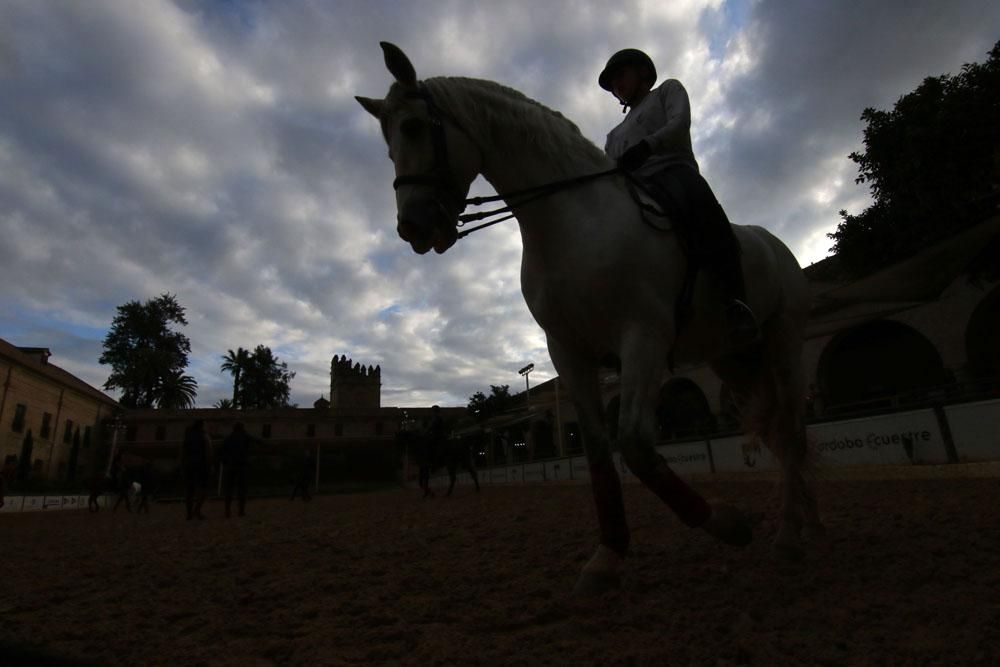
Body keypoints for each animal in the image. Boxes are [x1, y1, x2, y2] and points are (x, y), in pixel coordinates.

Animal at [358, 41, 820, 596]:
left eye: (413, 128)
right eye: (388, 146)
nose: (414, 228)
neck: (575, 222)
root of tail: (775, 245)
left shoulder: (642, 338)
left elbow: (635, 445)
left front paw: (728, 524)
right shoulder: (568, 351)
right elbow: (600, 451)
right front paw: (607, 556)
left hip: (784, 343)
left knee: (793, 431)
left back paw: (790, 536)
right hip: (733, 359)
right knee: (778, 432)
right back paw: (801, 523)